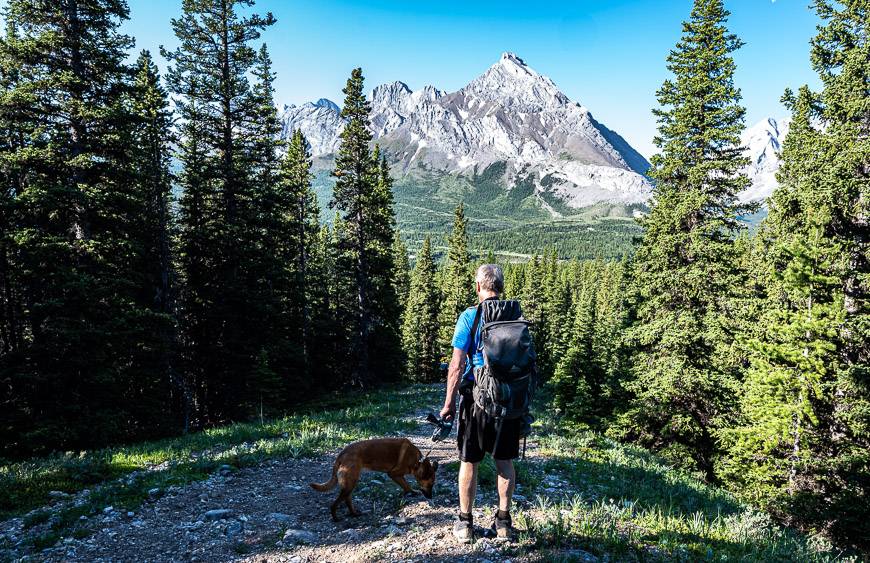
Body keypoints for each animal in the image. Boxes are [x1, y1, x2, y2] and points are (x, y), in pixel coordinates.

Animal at [310, 438, 440, 524]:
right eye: (431, 485)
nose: (430, 497)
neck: (418, 461)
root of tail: (342, 454)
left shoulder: (397, 475)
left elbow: (405, 485)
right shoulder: (394, 474)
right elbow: (407, 485)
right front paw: (411, 492)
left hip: (351, 482)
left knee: (347, 499)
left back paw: (354, 513)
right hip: (350, 483)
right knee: (335, 503)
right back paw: (336, 518)